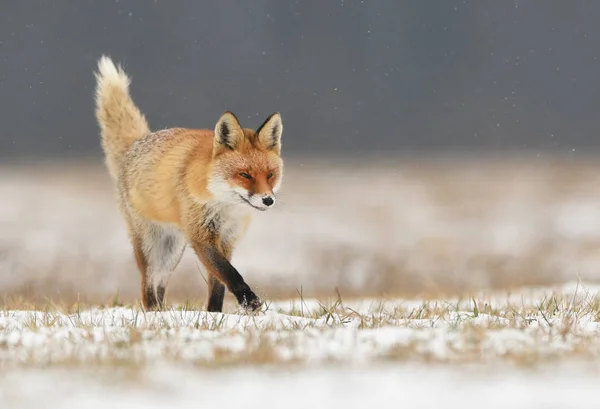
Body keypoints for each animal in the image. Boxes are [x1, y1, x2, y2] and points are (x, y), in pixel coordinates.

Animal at [93, 55, 284, 312]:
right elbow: (230, 273)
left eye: (270, 175)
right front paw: (249, 301)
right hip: (153, 247)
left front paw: (214, 314)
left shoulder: (227, 238)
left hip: (172, 250)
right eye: (244, 175)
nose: (268, 200)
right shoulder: (201, 236)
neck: (224, 204)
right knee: (148, 285)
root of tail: (136, 143)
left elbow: (218, 284)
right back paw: (154, 313)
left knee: (159, 283)